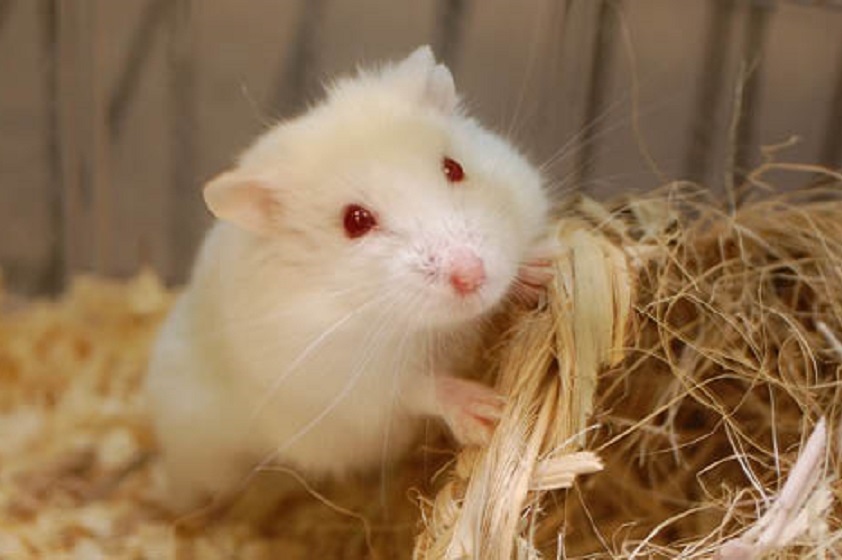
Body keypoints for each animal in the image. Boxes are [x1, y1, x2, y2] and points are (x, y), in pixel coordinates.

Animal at [144, 46, 551, 511]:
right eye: (355, 221)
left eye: (454, 168)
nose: (472, 275)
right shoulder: (358, 385)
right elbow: (423, 387)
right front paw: (488, 413)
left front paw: (544, 266)